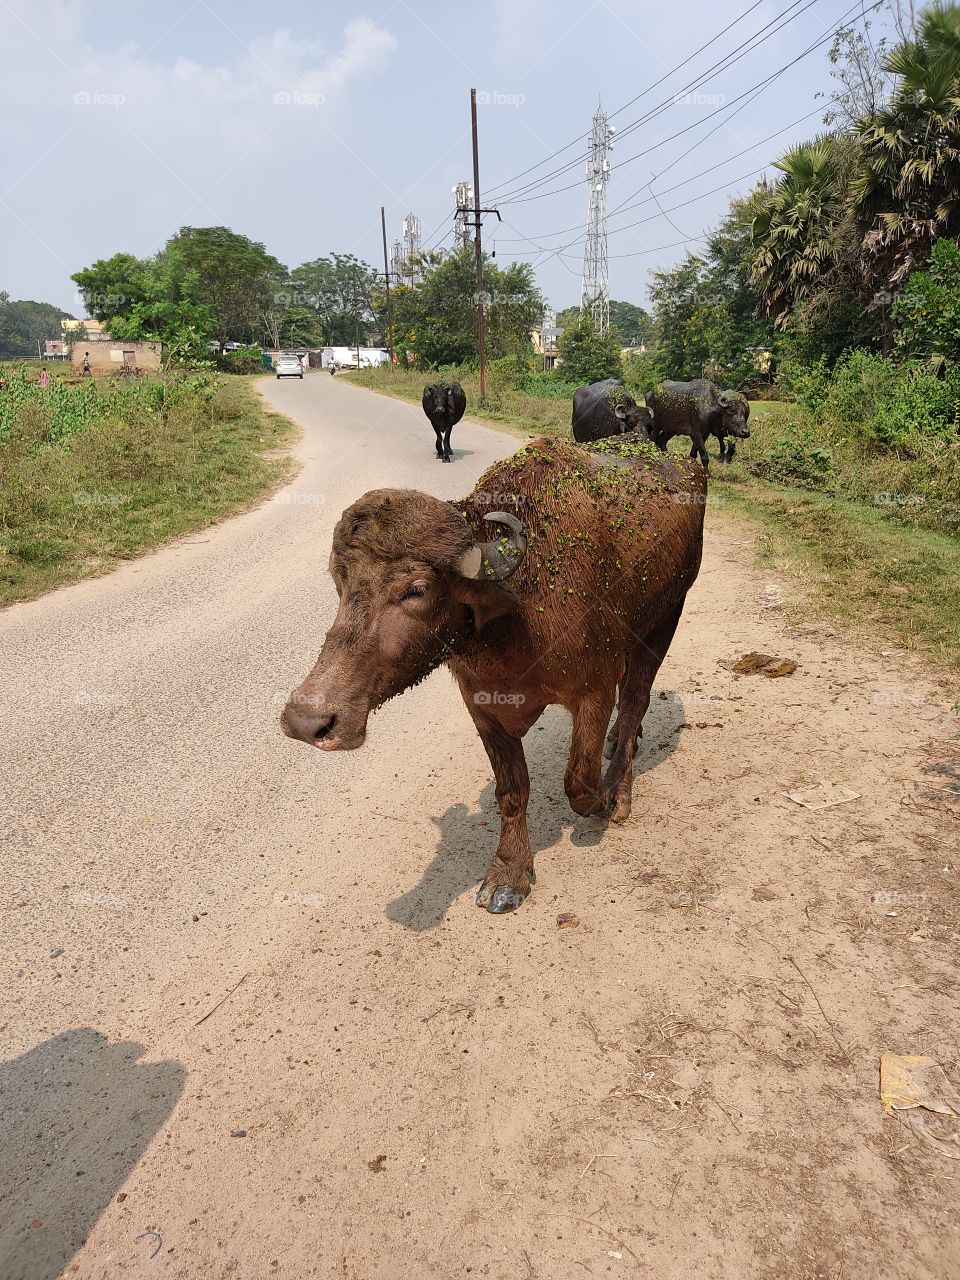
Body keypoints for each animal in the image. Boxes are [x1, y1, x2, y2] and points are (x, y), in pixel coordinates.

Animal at [281, 438, 705, 915]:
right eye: (341, 581)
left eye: (416, 590)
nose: (307, 720)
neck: (518, 614)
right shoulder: (482, 705)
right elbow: (512, 789)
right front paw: (509, 874)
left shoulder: (594, 690)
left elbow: (578, 783)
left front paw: (600, 799)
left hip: (667, 616)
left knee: (636, 697)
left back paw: (620, 788)